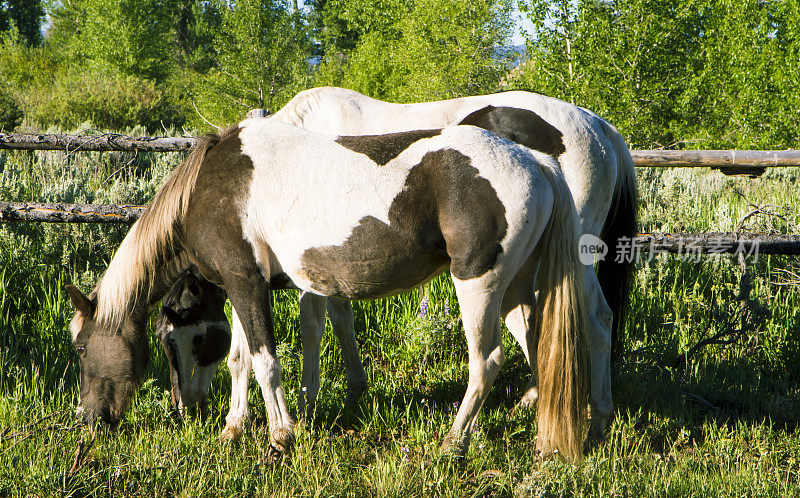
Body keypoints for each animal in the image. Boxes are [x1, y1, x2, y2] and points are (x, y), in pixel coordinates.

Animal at [69, 120, 592, 460]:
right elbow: (240, 359)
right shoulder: (240, 285)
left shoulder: (247, 284)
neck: (208, 190)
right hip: (515, 290)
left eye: (80, 349)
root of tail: (537, 161)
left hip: (478, 286)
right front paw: (233, 429)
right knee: (541, 349)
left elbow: (266, 363)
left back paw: (452, 444)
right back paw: (547, 438)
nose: (90, 420)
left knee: (485, 363)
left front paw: (281, 435)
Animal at [217, 85, 632, 440]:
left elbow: (313, 330)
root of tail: (600, 128)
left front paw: (304, 406)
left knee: (593, 320)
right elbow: (335, 323)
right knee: (588, 320)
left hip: (570, 257)